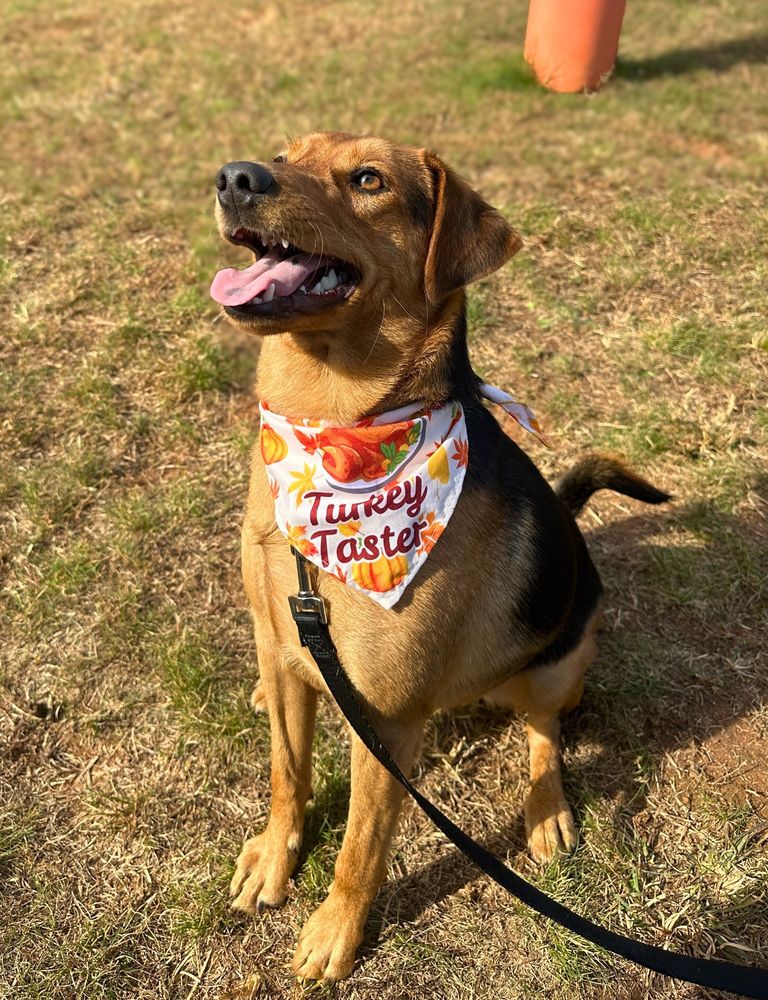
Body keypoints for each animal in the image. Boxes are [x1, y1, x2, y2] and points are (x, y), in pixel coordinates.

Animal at [210, 131, 669, 982]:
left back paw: (548, 810)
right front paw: (274, 855)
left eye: (367, 180)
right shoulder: (283, 646)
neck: (334, 433)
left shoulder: (387, 722)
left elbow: (361, 848)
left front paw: (336, 929)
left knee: (545, 732)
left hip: (556, 662)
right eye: (285, 154)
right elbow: (288, 775)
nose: (234, 179)